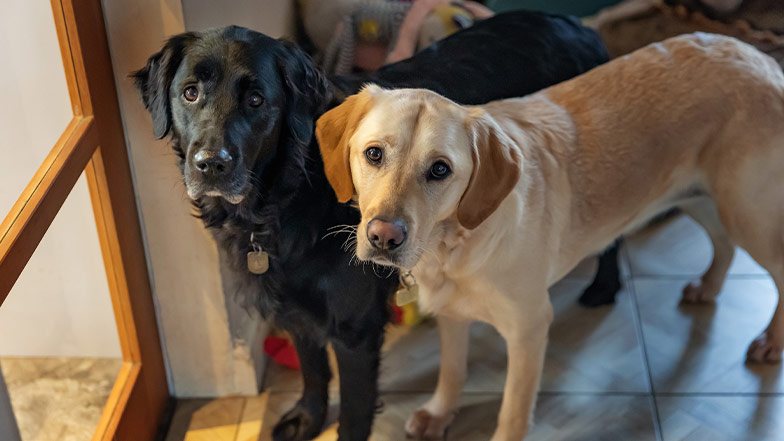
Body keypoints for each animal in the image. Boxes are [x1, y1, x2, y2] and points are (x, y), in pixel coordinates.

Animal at [133, 11, 612, 440]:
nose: (211, 165)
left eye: (256, 100)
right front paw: (307, 419)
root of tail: (579, 26)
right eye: (190, 93)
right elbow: (312, 370)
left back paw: (603, 288)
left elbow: (354, 411)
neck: (289, 192)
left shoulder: (355, 329)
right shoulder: (294, 306)